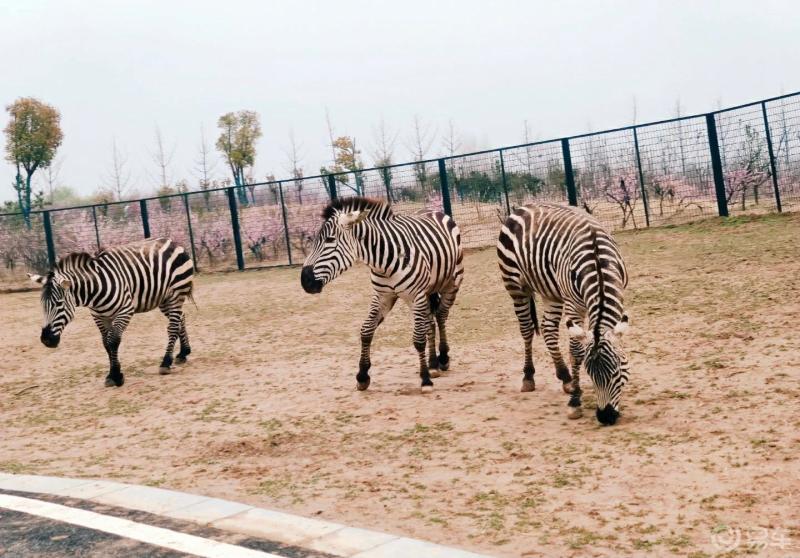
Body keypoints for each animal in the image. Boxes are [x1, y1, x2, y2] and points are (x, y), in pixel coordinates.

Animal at [28, 237, 195, 390]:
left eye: (59, 304)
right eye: (42, 305)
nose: (46, 340)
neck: (94, 290)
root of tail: (172, 241)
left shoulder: (125, 311)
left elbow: (113, 341)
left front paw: (116, 376)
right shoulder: (99, 316)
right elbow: (106, 343)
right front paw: (112, 374)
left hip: (175, 295)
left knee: (172, 327)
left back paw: (166, 362)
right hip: (163, 299)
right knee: (181, 318)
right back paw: (183, 353)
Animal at [298, 197, 462, 394]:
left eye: (330, 240)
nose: (304, 281)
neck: (383, 263)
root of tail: (431, 210)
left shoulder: (415, 296)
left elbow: (418, 339)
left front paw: (425, 380)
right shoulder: (382, 296)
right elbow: (366, 331)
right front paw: (362, 375)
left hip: (451, 282)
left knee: (441, 315)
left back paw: (443, 358)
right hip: (426, 292)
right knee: (429, 321)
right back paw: (433, 363)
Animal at [494, 203, 632, 426]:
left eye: (617, 372)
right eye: (590, 374)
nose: (605, 417)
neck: (598, 264)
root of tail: (522, 206)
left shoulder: (620, 293)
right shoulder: (574, 305)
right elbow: (576, 351)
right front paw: (575, 401)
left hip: (551, 292)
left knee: (549, 329)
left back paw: (565, 377)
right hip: (516, 286)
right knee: (526, 330)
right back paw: (528, 377)